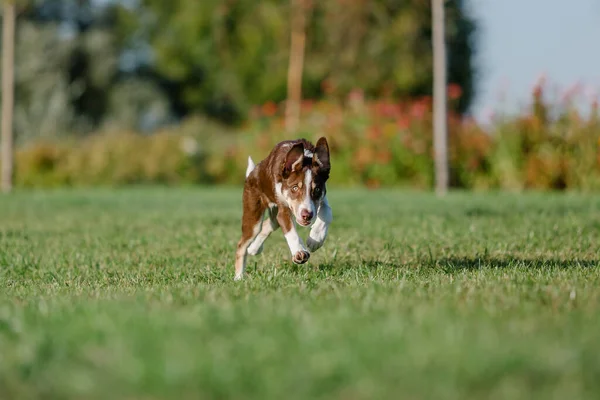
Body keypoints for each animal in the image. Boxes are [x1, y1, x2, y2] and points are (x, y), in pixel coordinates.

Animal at [234, 138, 336, 282]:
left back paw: (254, 248)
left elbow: (327, 212)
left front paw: (315, 239)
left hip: (272, 215)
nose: (307, 215)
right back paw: (239, 277)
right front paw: (299, 252)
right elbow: (290, 230)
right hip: (253, 215)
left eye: (317, 189)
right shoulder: (283, 211)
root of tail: (252, 174)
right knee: (242, 245)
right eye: (294, 188)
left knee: (269, 224)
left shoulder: (322, 198)